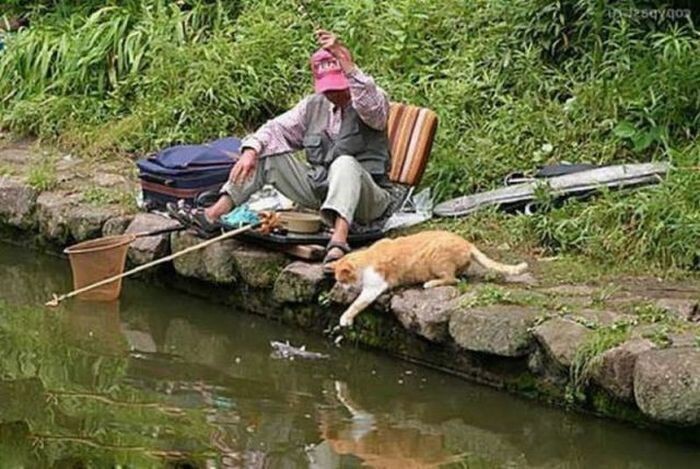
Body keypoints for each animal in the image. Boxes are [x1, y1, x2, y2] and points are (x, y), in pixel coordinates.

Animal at [330, 229, 528, 326]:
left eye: (342, 280)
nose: (341, 287)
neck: (366, 257)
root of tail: (468, 243)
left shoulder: (375, 286)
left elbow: (357, 304)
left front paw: (345, 318)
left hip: (436, 258)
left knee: (453, 279)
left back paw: (430, 283)